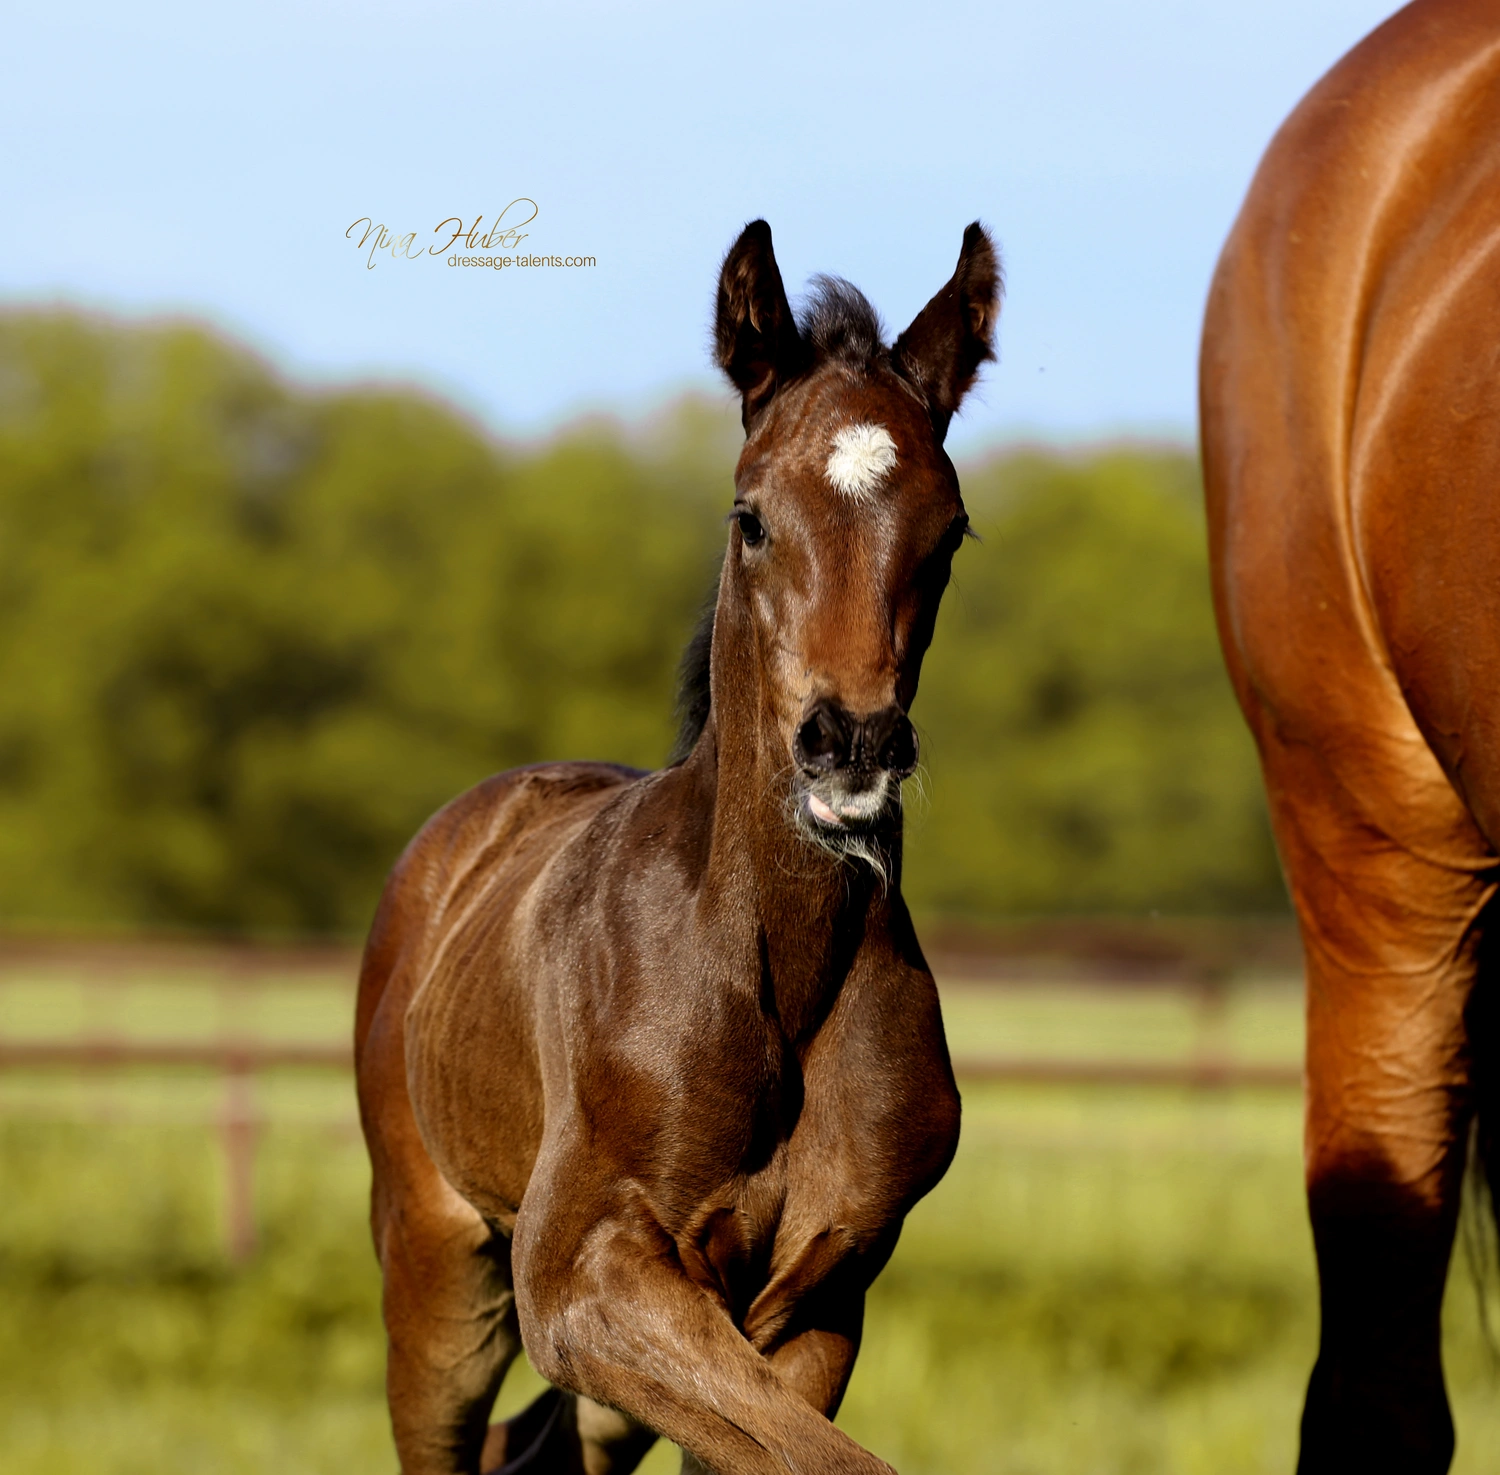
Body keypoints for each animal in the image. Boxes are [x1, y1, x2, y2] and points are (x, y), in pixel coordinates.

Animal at [355, 218, 1000, 1475]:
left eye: (951, 531)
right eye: (750, 514)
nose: (851, 742)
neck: (777, 973)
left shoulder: (813, 1303)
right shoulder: (577, 1273)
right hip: (439, 1261)